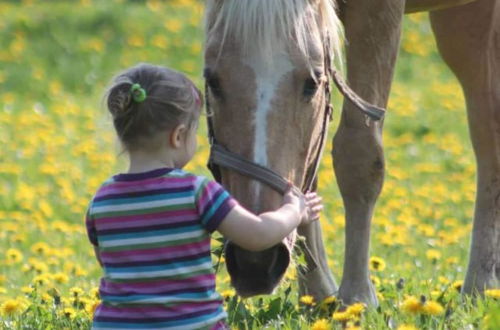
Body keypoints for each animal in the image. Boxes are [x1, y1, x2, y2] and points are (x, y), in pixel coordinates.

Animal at [203, 0, 500, 306]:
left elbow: (359, 154)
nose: (255, 262)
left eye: (312, 82)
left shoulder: (378, 15)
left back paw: (480, 283)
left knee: (487, 131)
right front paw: (317, 293)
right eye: (212, 80)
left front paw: (358, 296)